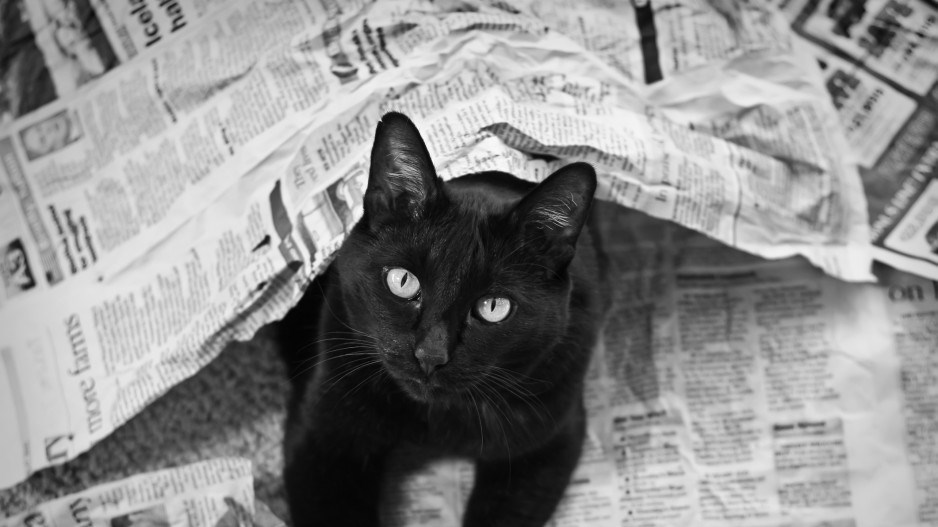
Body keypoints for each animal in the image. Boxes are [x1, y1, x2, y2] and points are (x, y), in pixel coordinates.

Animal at [274, 112, 612, 527]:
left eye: (494, 306)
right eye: (402, 281)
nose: (430, 355)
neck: (433, 423)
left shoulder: (544, 446)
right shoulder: (322, 441)